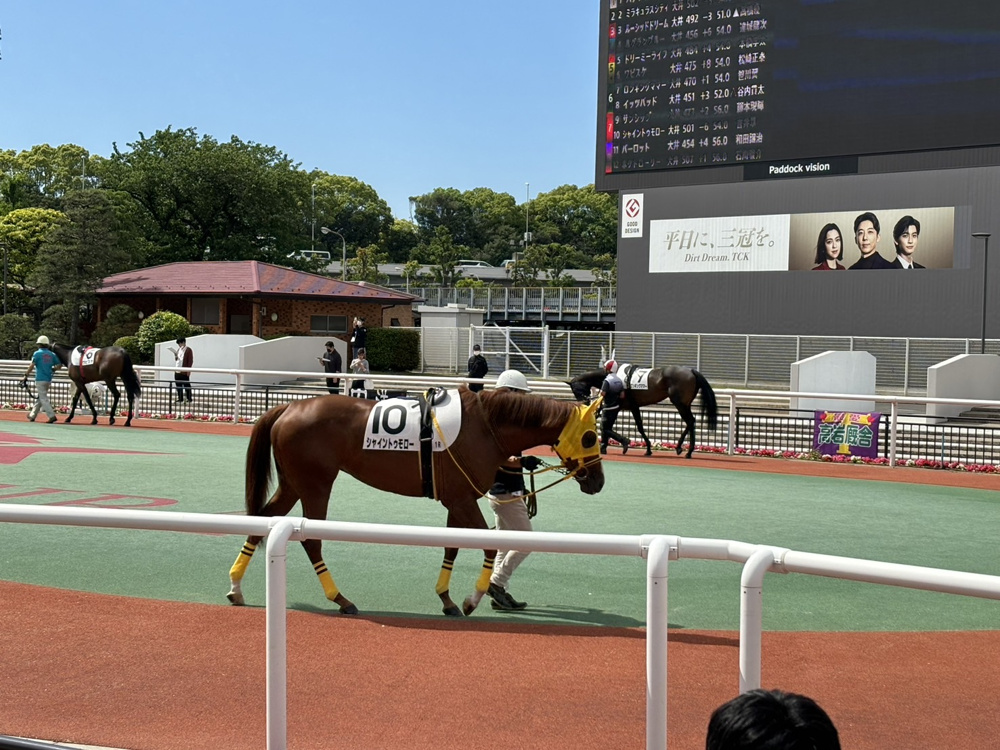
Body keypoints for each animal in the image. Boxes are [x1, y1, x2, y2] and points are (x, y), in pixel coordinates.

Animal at [226, 387, 605, 617]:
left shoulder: (457, 500)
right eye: (590, 437)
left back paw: (235, 588)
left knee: (261, 522)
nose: (598, 481)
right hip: (316, 485)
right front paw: (471, 600)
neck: (485, 427)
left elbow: (452, 547)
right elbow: (488, 545)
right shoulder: (462, 500)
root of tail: (289, 406)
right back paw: (341, 598)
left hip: (293, 483)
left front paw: (447, 599)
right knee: (312, 540)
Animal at [569, 357, 718, 459]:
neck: (613, 375)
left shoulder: (617, 406)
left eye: (575, 390)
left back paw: (688, 451)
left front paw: (607, 446)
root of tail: (692, 371)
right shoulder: (632, 406)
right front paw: (647, 449)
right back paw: (681, 448)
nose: (584, 402)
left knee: (690, 421)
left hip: (680, 404)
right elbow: (638, 426)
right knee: (690, 422)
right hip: (685, 404)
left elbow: (608, 426)